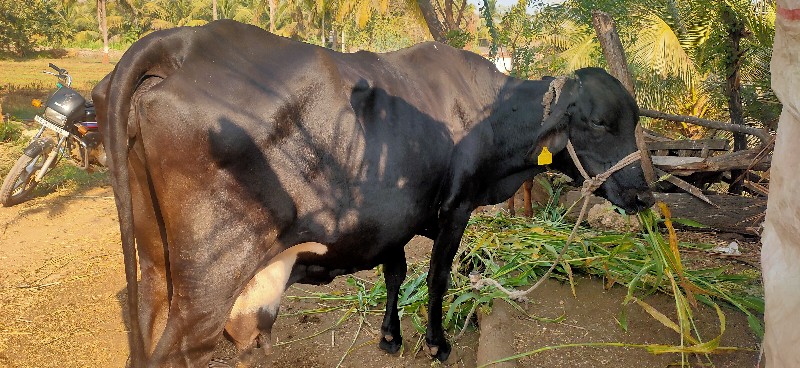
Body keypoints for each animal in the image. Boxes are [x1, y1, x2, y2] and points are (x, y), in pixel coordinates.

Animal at [94, 20, 652, 368]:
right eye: (599, 122)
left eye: (635, 119)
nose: (645, 197)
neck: (490, 116)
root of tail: (181, 44)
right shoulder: (455, 209)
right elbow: (437, 278)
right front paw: (436, 344)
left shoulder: (393, 220)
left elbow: (395, 273)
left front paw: (390, 336)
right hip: (209, 283)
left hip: (157, 266)